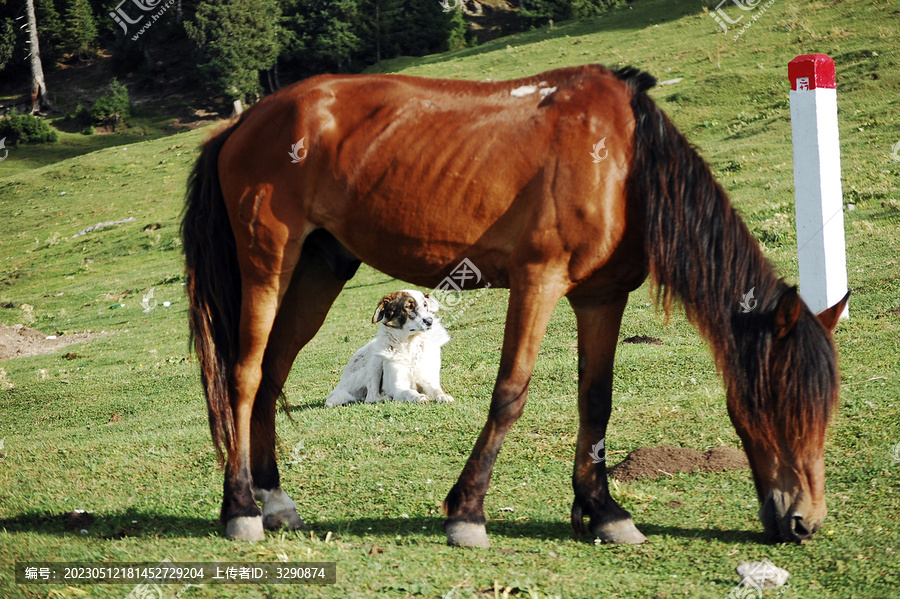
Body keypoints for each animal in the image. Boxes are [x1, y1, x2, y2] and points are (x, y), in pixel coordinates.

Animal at [324, 290, 454, 408]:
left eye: (425, 305)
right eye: (409, 307)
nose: (429, 321)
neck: (410, 344)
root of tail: (340, 386)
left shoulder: (428, 380)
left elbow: (436, 390)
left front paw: (443, 396)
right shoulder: (398, 388)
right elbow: (409, 392)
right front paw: (419, 396)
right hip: (375, 360)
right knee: (370, 397)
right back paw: (386, 397)